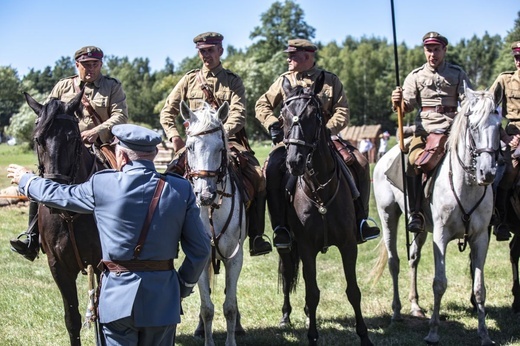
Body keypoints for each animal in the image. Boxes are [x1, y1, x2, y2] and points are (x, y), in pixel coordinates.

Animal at [24, 92, 103, 346]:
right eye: (38, 139)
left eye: (72, 138)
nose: (53, 190)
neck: (70, 211)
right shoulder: (58, 266)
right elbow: (72, 318)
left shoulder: (100, 264)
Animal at [180, 100, 247, 346]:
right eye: (190, 147)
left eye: (220, 148)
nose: (206, 195)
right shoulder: (200, 258)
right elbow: (207, 308)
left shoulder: (234, 258)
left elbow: (230, 305)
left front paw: (231, 339)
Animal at [274, 76, 372, 346]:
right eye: (283, 115)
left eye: (314, 115)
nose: (294, 161)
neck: (320, 192)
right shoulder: (306, 247)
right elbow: (312, 293)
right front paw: (312, 337)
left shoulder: (348, 245)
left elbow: (353, 291)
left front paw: (364, 336)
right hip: (287, 248)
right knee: (288, 274)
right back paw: (286, 315)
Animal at [374, 85, 500, 344]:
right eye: (474, 127)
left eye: (498, 126)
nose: (488, 173)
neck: (466, 185)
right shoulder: (440, 237)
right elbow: (439, 283)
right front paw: (433, 331)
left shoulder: (481, 238)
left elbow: (479, 287)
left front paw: (484, 334)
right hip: (388, 215)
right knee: (394, 261)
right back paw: (396, 312)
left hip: (421, 229)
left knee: (413, 258)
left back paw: (415, 306)